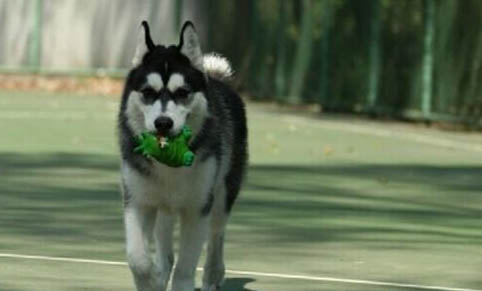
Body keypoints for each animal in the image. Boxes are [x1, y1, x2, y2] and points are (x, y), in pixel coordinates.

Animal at [117, 21, 249, 291]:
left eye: (182, 92)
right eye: (148, 92)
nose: (163, 123)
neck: (168, 166)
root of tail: (217, 80)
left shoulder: (197, 208)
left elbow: (186, 264)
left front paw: (182, 282)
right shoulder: (138, 201)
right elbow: (137, 258)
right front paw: (150, 281)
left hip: (222, 194)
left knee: (217, 234)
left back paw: (212, 275)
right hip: (164, 208)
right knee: (166, 250)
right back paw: (161, 273)